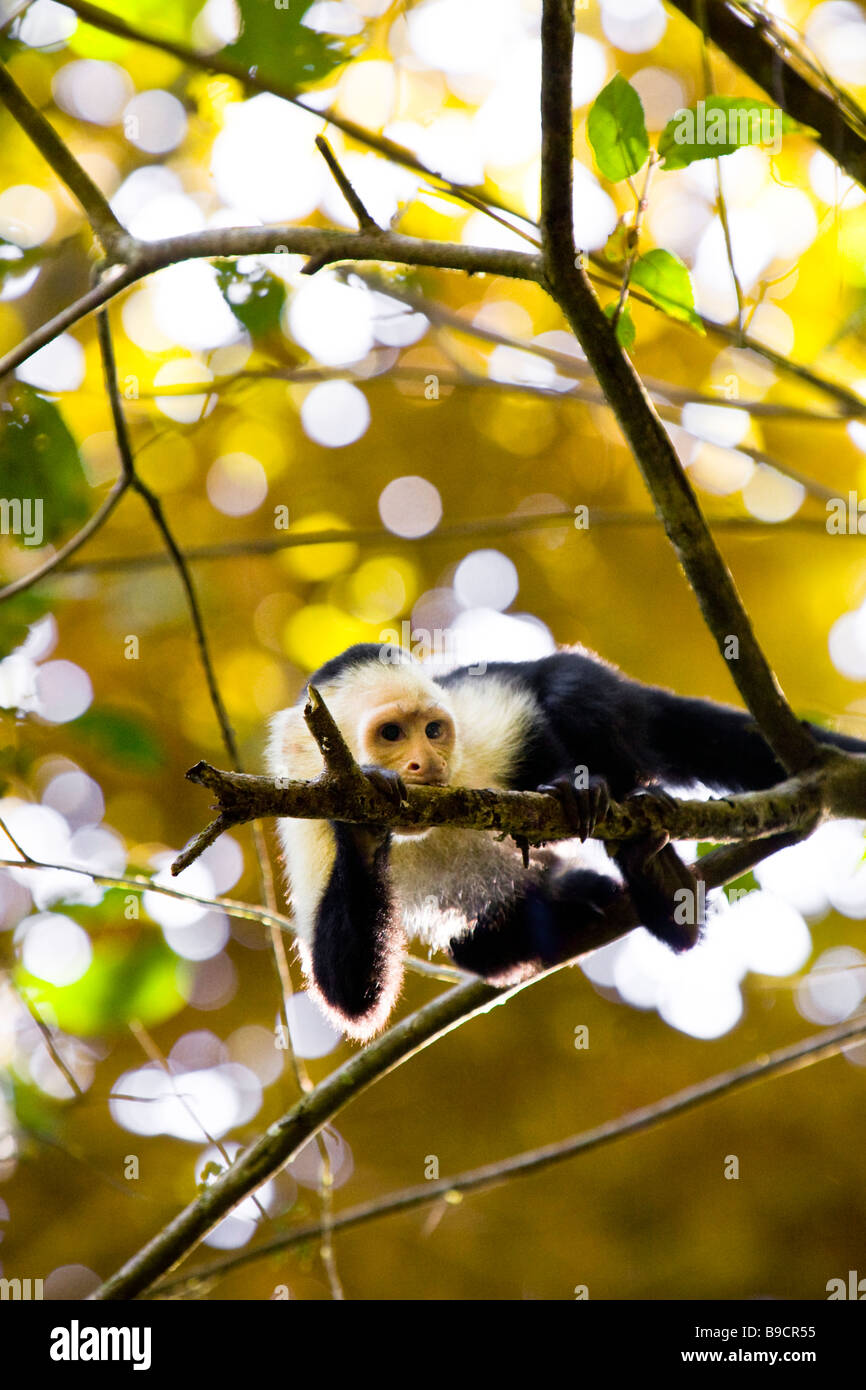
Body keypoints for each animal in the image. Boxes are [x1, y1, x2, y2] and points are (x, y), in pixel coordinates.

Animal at [268, 644, 861, 1039]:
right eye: (391, 735)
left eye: (433, 731)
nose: (426, 762)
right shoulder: (309, 822)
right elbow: (346, 990)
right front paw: (365, 820)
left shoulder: (476, 719)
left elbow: (533, 720)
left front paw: (573, 789)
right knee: (478, 944)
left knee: (568, 688)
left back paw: (648, 864)